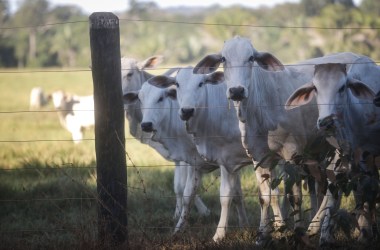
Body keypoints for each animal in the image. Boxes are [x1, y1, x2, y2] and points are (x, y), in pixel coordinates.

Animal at [120, 56, 211, 223]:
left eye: (129, 74)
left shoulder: (188, 151)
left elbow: (185, 185)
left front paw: (202, 211)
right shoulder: (176, 154)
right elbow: (178, 186)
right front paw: (177, 214)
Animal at [147, 66, 284, 242]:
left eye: (201, 83)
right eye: (177, 84)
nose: (186, 111)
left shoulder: (230, 159)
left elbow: (229, 196)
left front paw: (220, 234)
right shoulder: (195, 162)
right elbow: (188, 195)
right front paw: (178, 230)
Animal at [193, 35, 362, 242]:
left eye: (251, 58)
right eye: (224, 59)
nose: (237, 91)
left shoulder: (293, 154)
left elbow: (294, 196)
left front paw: (297, 231)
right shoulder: (259, 157)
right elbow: (266, 196)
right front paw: (263, 234)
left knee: (336, 186)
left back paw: (317, 227)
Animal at [284, 57, 380, 245]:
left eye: (342, 87)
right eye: (315, 88)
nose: (326, 122)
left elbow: (367, 190)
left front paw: (365, 233)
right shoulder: (341, 160)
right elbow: (334, 195)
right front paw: (325, 236)